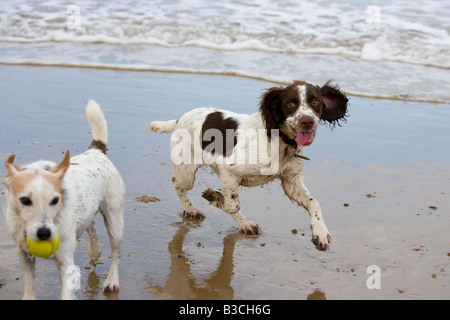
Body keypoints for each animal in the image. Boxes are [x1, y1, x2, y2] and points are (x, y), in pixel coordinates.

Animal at [3, 100, 126, 300]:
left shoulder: (66, 262)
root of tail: (95, 151)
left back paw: (111, 280)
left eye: (55, 200)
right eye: (25, 200)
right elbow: (29, 286)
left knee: (115, 253)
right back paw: (95, 249)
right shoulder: (23, 254)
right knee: (90, 224)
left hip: (115, 220)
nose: (44, 233)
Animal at [150, 80, 348, 250]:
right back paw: (192, 210)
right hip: (187, 173)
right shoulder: (228, 171)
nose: (307, 121)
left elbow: (314, 203)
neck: (277, 139)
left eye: (315, 101)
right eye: (290, 103)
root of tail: (179, 120)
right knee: (176, 182)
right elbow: (232, 205)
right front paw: (214, 197)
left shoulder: (290, 180)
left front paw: (320, 234)